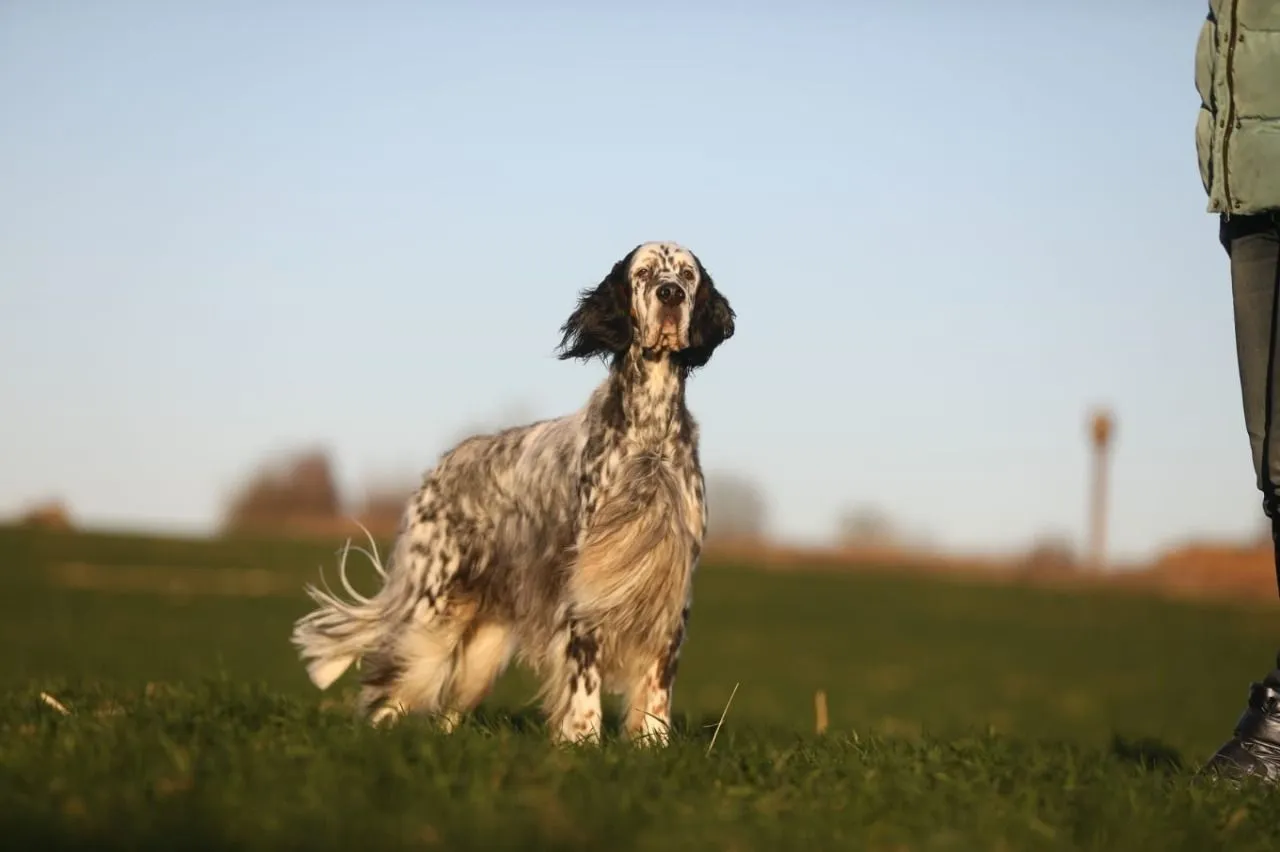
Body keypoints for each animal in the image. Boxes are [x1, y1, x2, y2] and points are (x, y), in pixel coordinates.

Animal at [289, 239, 732, 741]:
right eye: (643, 273)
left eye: (687, 275)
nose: (670, 294)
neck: (649, 440)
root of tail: (439, 467)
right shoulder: (585, 581)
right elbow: (584, 677)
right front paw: (582, 738)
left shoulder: (671, 585)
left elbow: (657, 684)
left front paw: (653, 743)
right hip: (433, 606)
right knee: (393, 678)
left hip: (485, 637)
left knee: (446, 703)